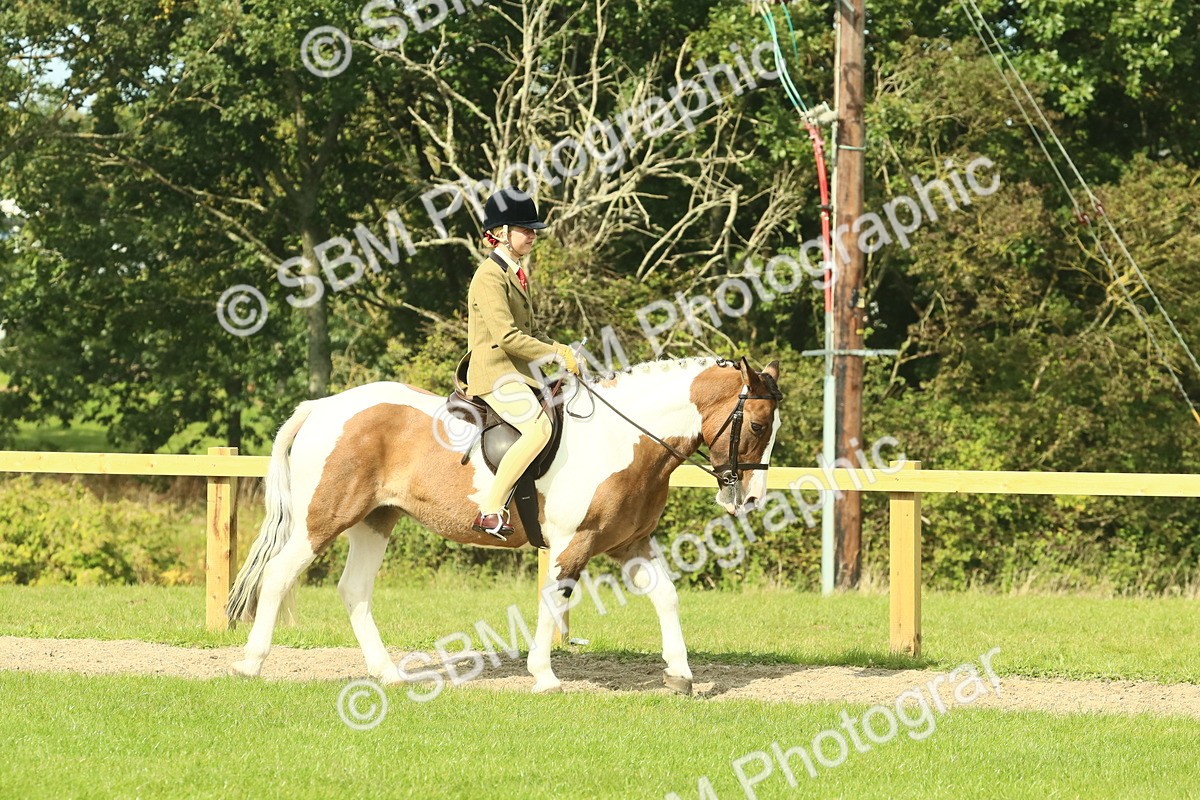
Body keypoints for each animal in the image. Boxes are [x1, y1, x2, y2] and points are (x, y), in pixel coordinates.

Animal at [225, 355, 783, 694]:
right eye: (757, 425)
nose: (751, 497)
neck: (624, 440)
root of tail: (324, 407)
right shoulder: (572, 543)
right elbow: (553, 600)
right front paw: (544, 677)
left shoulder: (631, 543)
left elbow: (666, 596)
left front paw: (681, 676)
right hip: (322, 520)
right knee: (278, 576)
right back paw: (250, 664)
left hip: (376, 520)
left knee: (354, 590)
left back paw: (388, 675)